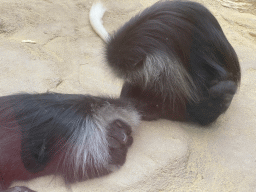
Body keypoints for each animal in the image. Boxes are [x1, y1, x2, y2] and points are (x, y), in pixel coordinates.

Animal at [0, 92, 140, 190]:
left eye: (128, 135)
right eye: (120, 126)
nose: (125, 137)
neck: (91, 112)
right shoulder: (84, 134)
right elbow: (82, 171)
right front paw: (119, 155)